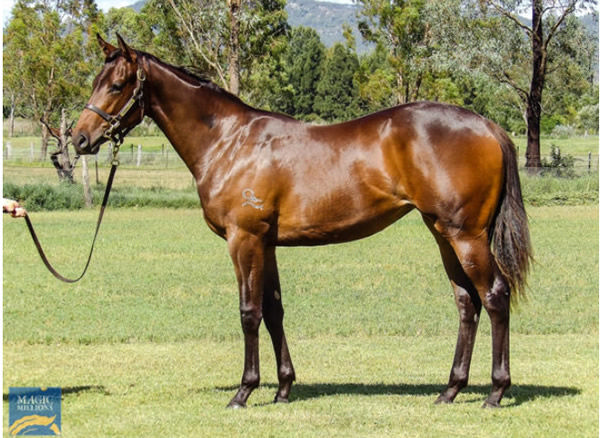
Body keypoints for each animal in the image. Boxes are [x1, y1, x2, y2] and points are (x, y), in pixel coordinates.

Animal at [72, 36, 532, 408]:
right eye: (96, 81)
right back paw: (450, 390)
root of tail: (488, 126)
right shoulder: (267, 244)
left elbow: (249, 312)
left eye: (116, 85)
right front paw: (282, 388)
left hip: (466, 236)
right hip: (443, 234)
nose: (79, 139)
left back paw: (495, 391)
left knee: (494, 296)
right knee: (467, 302)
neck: (229, 142)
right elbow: (274, 311)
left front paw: (244, 391)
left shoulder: (244, 240)